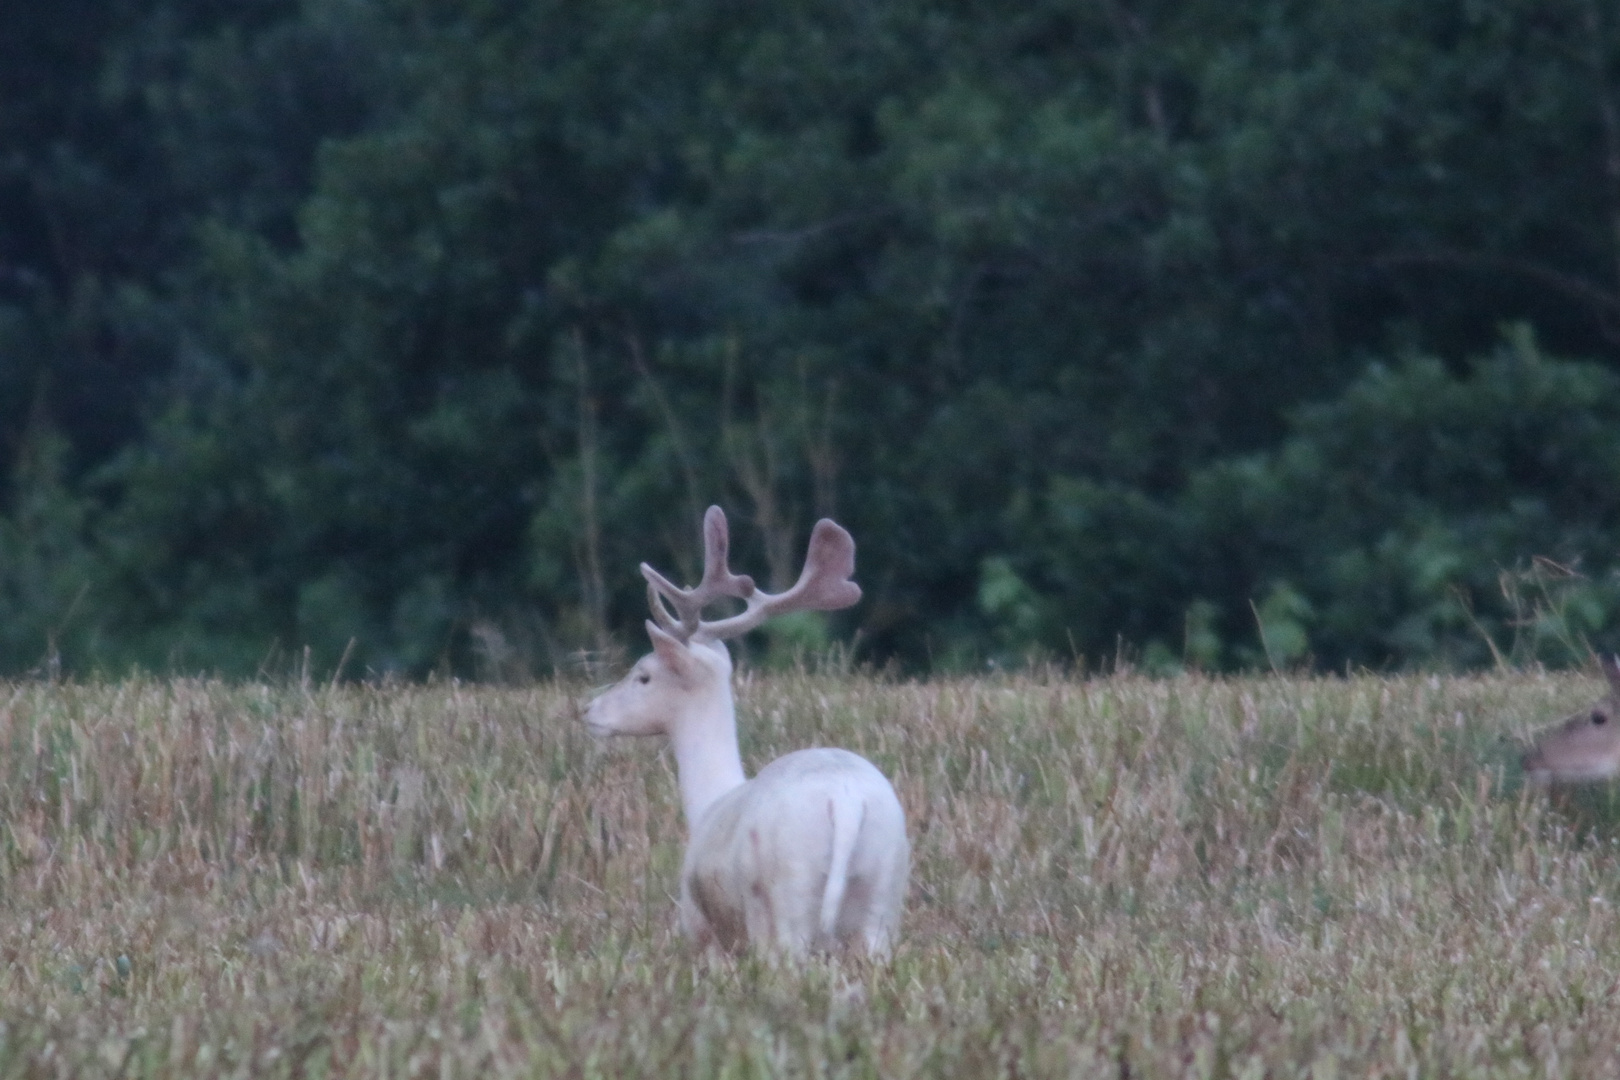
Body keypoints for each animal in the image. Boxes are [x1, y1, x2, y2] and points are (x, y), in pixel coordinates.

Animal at [583, 508, 913, 952]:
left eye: (643, 675)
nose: (590, 709)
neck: (708, 803)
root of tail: (845, 802)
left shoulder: (701, 927)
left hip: (786, 893)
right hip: (884, 892)